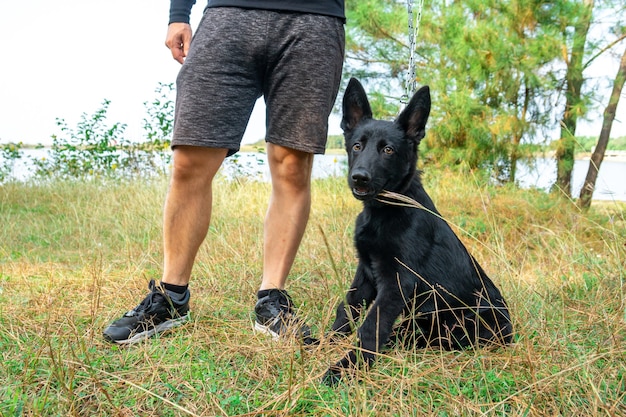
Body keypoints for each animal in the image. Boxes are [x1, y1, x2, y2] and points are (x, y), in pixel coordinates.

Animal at [322, 78, 512, 384]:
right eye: (357, 146)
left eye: (388, 150)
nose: (359, 177)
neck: (386, 210)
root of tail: (510, 331)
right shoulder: (365, 273)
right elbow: (347, 309)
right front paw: (325, 342)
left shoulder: (397, 283)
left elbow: (371, 327)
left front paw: (347, 367)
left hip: (441, 322)